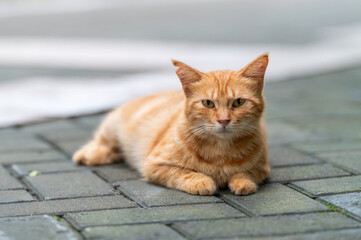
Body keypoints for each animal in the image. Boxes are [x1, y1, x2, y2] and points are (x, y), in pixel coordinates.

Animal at [74, 53, 270, 196]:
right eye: (208, 103)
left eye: (238, 102)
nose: (223, 120)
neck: (221, 152)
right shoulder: (154, 165)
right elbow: (183, 173)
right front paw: (202, 181)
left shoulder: (262, 169)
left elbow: (245, 173)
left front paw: (242, 183)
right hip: (112, 129)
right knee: (100, 142)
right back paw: (89, 155)